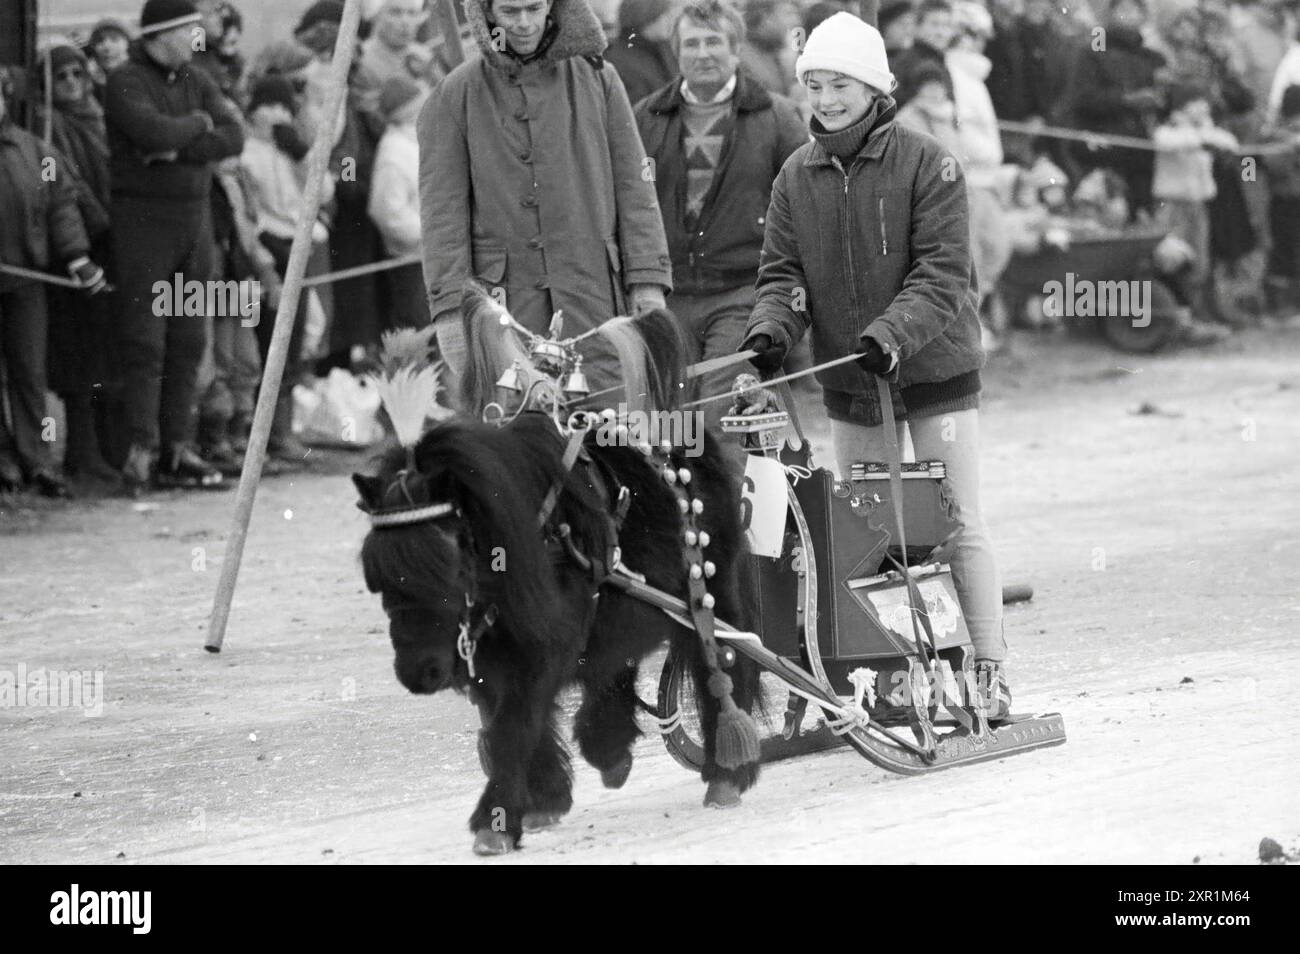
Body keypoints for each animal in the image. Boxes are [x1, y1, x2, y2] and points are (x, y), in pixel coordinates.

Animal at [356, 302, 759, 857]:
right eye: (377, 578)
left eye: (447, 562)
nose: (420, 673)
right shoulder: (496, 650)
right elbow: (510, 721)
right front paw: (543, 796)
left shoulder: (539, 647)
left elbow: (515, 725)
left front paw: (495, 819)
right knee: (615, 665)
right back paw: (609, 745)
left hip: (708, 596)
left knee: (719, 666)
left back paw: (725, 773)